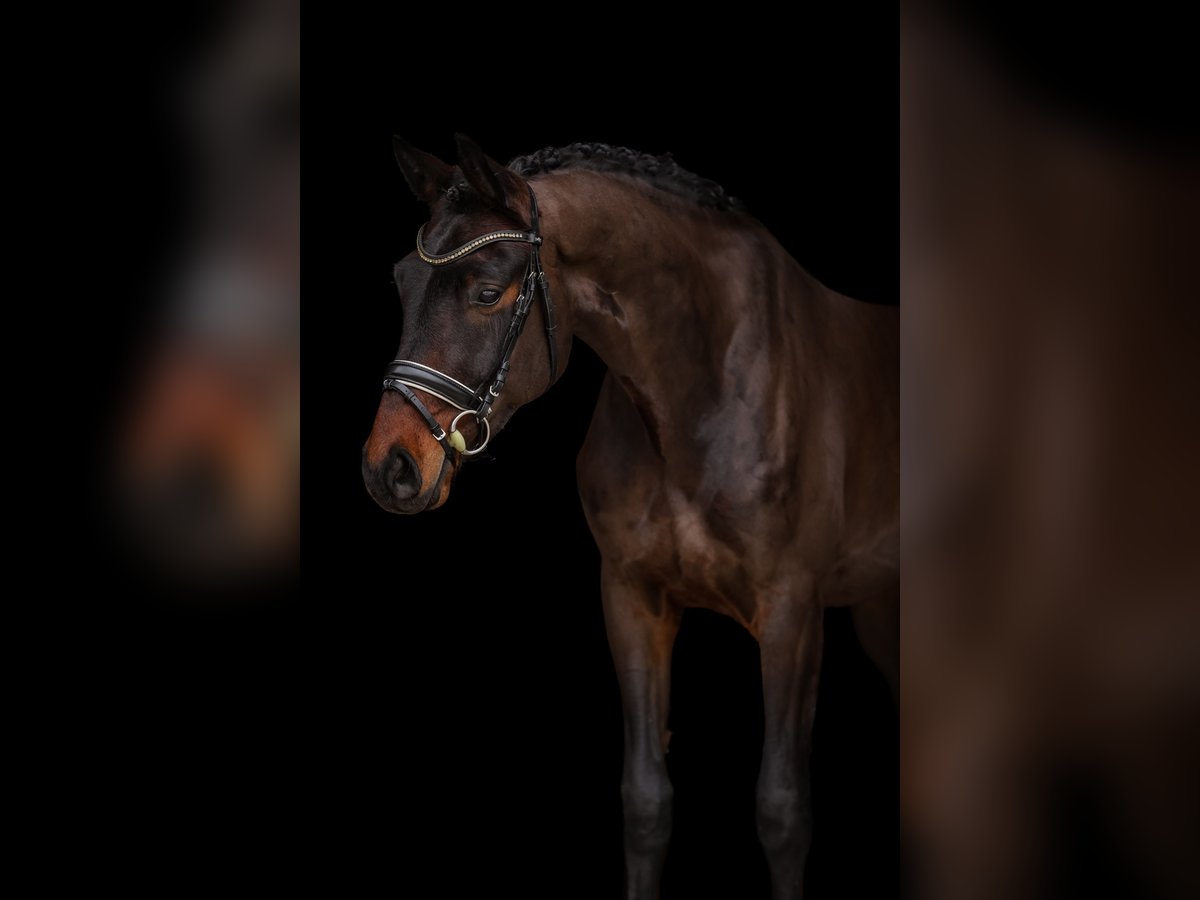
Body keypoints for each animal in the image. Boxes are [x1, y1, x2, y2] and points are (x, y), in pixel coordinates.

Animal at [362, 135, 898, 899]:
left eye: (487, 291)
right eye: (402, 282)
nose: (392, 467)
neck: (699, 392)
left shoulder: (793, 612)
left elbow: (783, 807)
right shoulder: (633, 599)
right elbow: (647, 801)